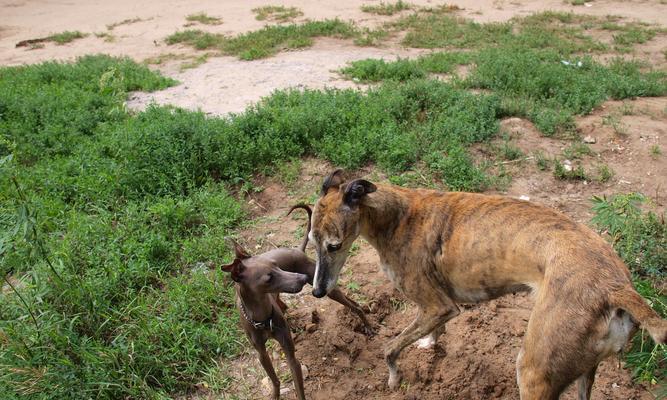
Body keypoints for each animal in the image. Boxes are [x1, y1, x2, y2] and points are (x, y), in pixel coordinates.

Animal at [223, 205, 370, 398]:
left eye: (276, 264)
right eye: (268, 277)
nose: (302, 278)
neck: (262, 317)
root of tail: (298, 250)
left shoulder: (292, 358)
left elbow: (298, 387)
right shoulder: (261, 354)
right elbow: (274, 380)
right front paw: (275, 395)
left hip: (326, 289)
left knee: (354, 305)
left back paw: (367, 325)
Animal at [308, 170, 667, 400]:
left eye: (334, 246)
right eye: (311, 240)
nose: (317, 292)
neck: (398, 215)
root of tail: (615, 287)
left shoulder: (439, 306)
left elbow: (389, 349)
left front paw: (395, 379)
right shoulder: (436, 310)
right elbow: (430, 333)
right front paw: (429, 345)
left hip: (534, 372)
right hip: (584, 370)